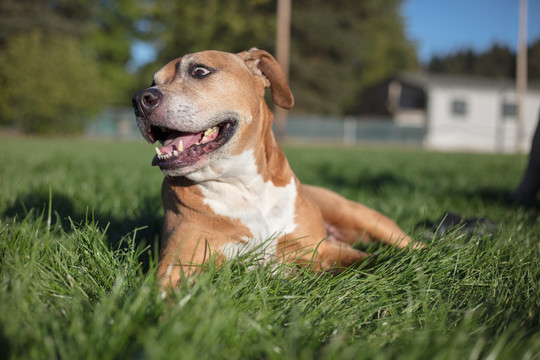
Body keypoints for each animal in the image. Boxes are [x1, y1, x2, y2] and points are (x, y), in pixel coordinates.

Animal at [133, 49, 412, 288]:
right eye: (153, 81)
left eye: (199, 71)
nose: (139, 99)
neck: (245, 185)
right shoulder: (176, 268)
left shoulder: (320, 248)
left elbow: (373, 260)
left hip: (360, 215)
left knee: (409, 244)